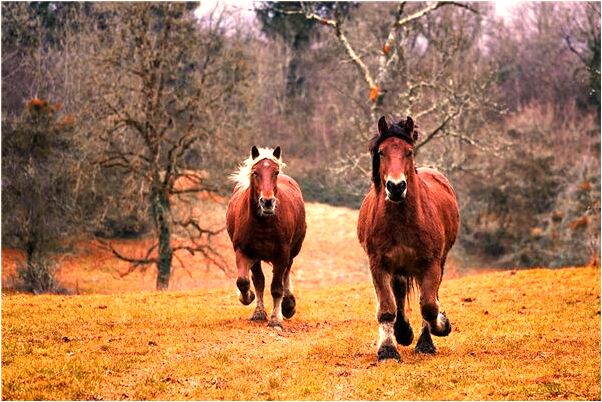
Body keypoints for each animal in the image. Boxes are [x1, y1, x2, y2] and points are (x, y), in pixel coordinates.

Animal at [225, 146, 304, 328]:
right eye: (255, 172)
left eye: (275, 172)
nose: (267, 202)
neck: (263, 224)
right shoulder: (244, 252)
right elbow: (245, 281)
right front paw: (249, 299)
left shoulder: (282, 254)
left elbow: (276, 287)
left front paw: (276, 319)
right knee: (259, 280)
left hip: (292, 252)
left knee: (286, 274)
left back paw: (288, 305)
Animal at [354, 116, 458, 362]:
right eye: (381, 152)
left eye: (409, 152)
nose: (396, 186)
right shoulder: (379, 265)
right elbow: (387, 308)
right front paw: (388, 350)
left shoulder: (430, 264)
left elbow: (429, 306)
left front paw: (441, 326)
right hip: (399, 268)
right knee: (399, 295)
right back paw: (402, 332)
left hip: (437, 263)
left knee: (428, 297)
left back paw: (424, 340)